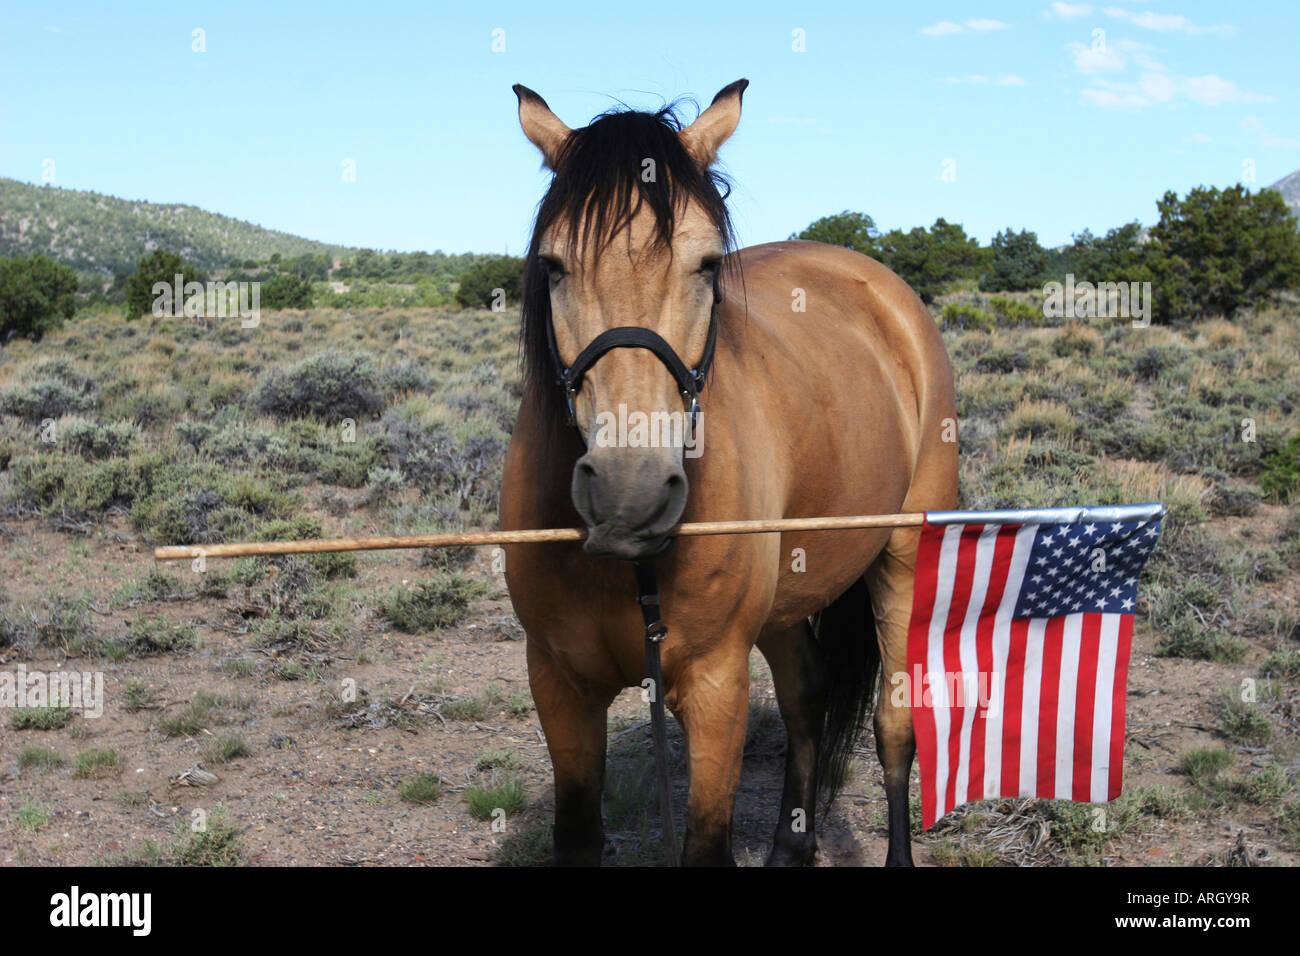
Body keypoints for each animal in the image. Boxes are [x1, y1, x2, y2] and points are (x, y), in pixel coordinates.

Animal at [499, 79, 958, 866]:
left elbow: (706, 841)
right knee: (806, 695)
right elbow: (578, 834)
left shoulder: (716, 686)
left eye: (708, 264)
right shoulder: (559, 685)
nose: (628, 495)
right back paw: (791, 846)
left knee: (895, 728)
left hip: (901, 555)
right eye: (553, 265)